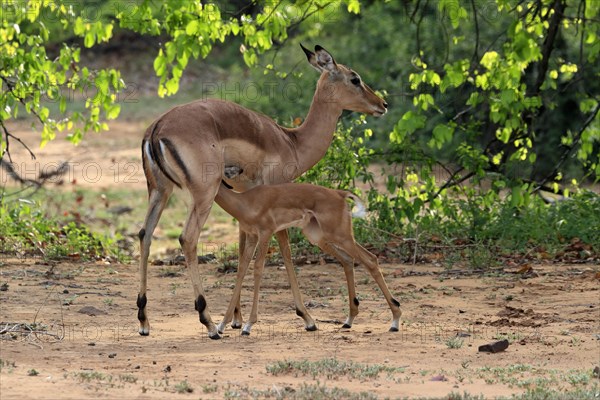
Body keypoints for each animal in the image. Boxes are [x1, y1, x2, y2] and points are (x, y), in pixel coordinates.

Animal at [216, 180, 404, 334]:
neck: (245, 202)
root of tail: (340, 194)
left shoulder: (265, 234)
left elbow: (257, 270)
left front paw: (247, 326)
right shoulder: (252, 237)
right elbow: (241, 270)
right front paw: (221, 325)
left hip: (341, 237)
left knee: (370, 259)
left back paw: (394, 321)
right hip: (321, 238)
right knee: (348, 260)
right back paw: (349, 320)